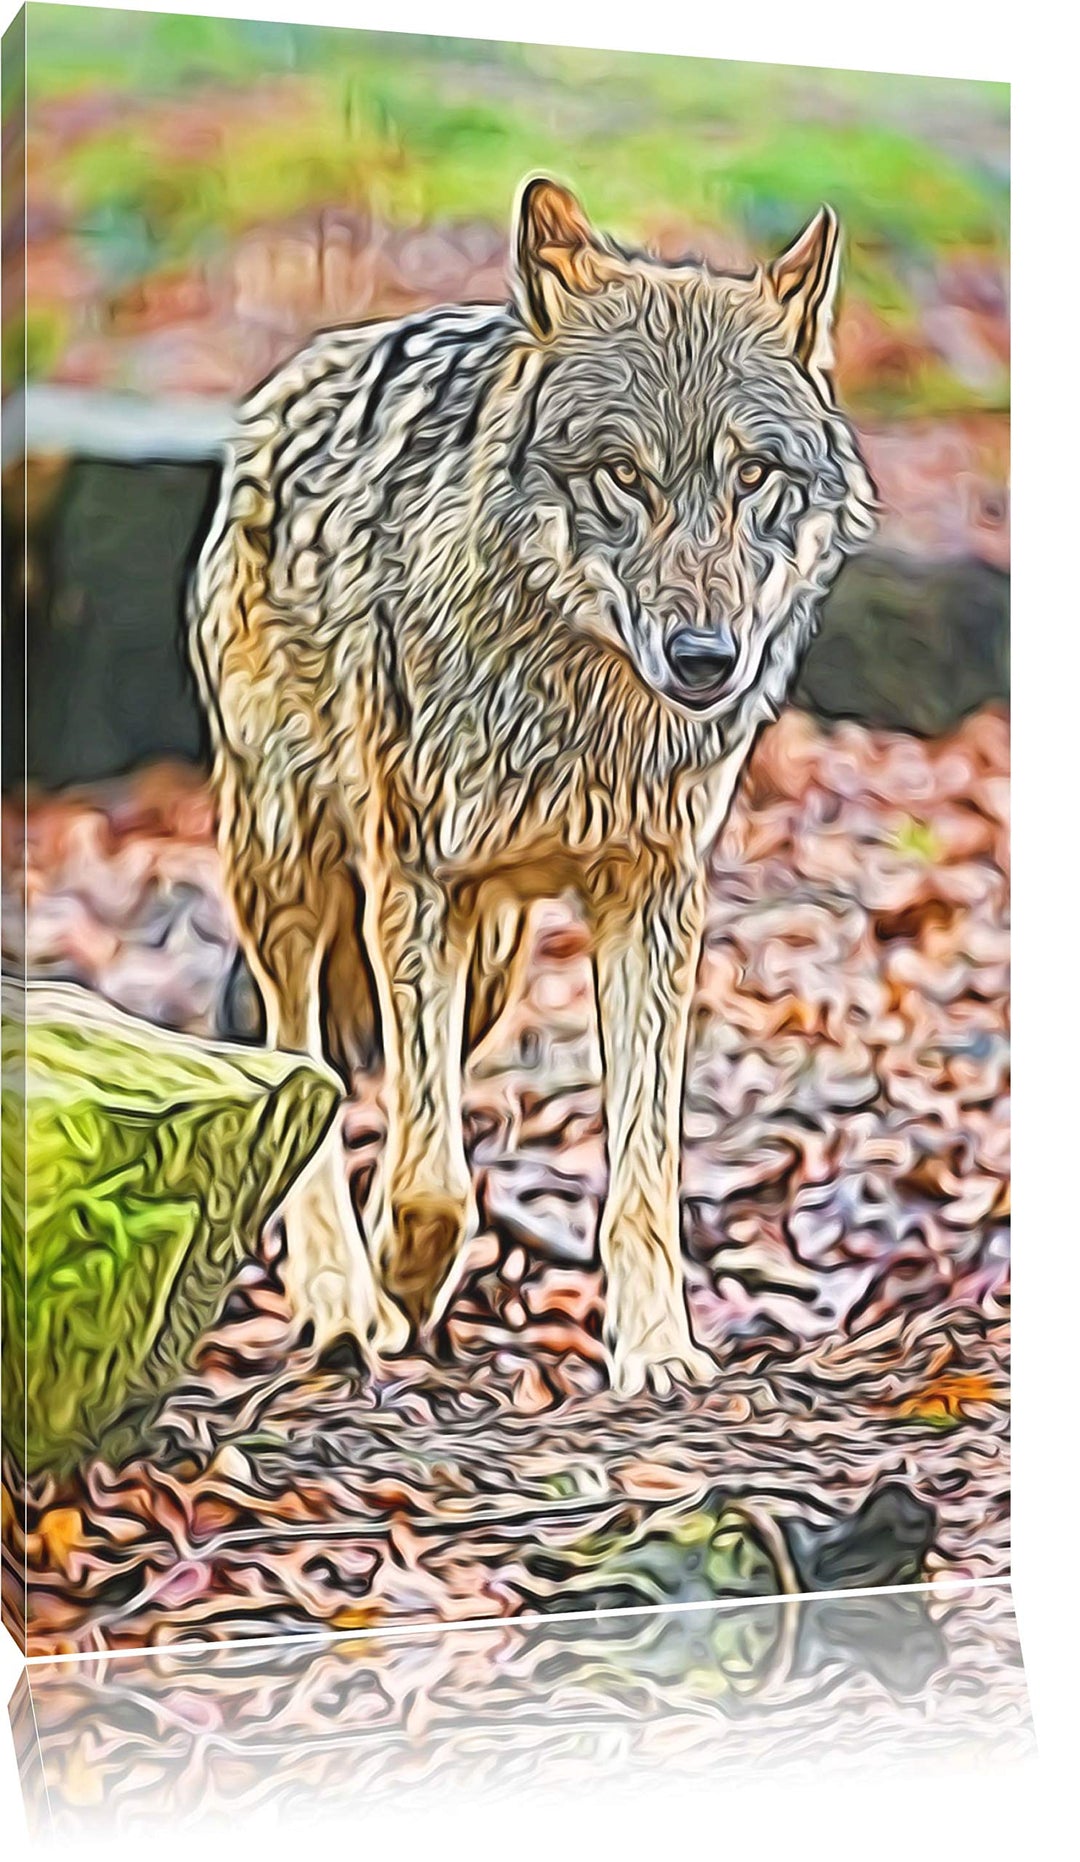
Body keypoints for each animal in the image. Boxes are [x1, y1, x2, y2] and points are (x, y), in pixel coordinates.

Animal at [189, 178, 875, 1396]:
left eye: (753, 476)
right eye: (623, 474)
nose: (706, 659)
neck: (577, 713)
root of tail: (287, 385)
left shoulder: (652, 903)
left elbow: (643, 1173)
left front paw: (657, 1350)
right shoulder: (415, 883)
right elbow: (431, 1182)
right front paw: (396, 1284)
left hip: (491, 966)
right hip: (294, 877)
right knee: (303, 1064)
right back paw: (339, 1296)